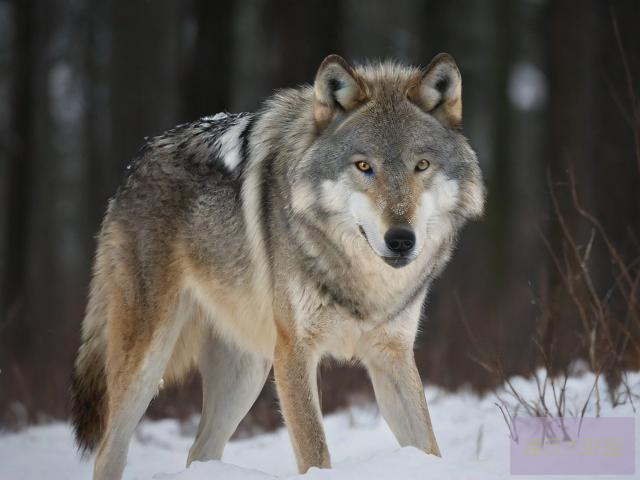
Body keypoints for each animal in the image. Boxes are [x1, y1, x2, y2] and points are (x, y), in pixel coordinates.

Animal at [71, 54, 484, 478]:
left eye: (422, 165)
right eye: (364, 166)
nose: (401, 239)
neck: (365, 282)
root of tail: (135, 163)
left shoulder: (392, 356)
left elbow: (428, 447)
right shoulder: (295, 353)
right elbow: (315, 452)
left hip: (246, 373)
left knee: (199, 451)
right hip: (147, 365)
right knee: (108, 451)